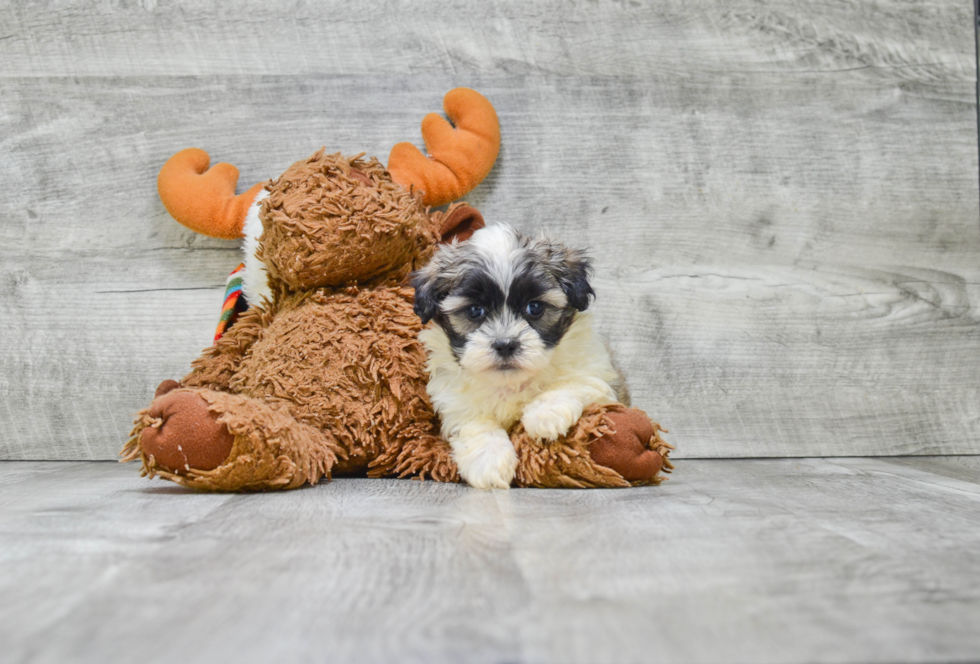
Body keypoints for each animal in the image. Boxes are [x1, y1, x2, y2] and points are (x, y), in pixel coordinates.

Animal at [412, 223, 628, 488]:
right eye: (475, 311)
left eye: (534, 308)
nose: (505, 344)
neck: (511, 382)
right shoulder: (454, 403)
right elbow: (475, 423)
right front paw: (489, 460)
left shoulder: (598, 374)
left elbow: (573, 382)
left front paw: (545, 414)